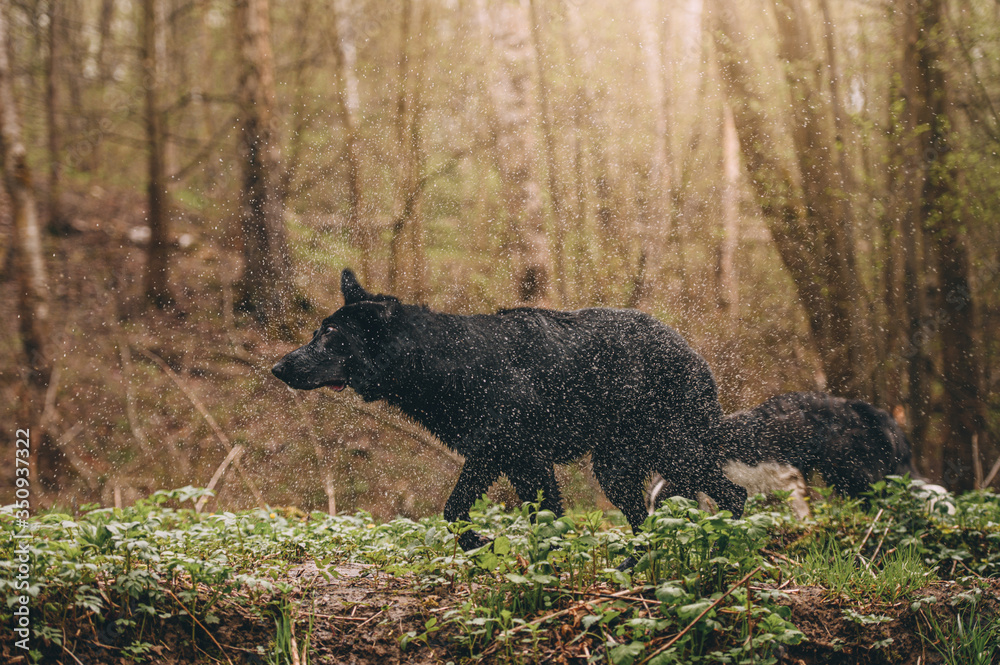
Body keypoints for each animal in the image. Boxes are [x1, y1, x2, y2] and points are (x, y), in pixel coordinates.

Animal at [272, 268, 744, 548]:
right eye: (315, 333)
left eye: (331, 337)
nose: (277, 367)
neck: (445, 362)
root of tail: (693, 354)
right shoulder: (510, 460)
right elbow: (510, 515)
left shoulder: (512, 455)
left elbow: (459, 510)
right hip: (618, 466)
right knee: (648, 518)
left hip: (672, 450)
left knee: (732, 493)